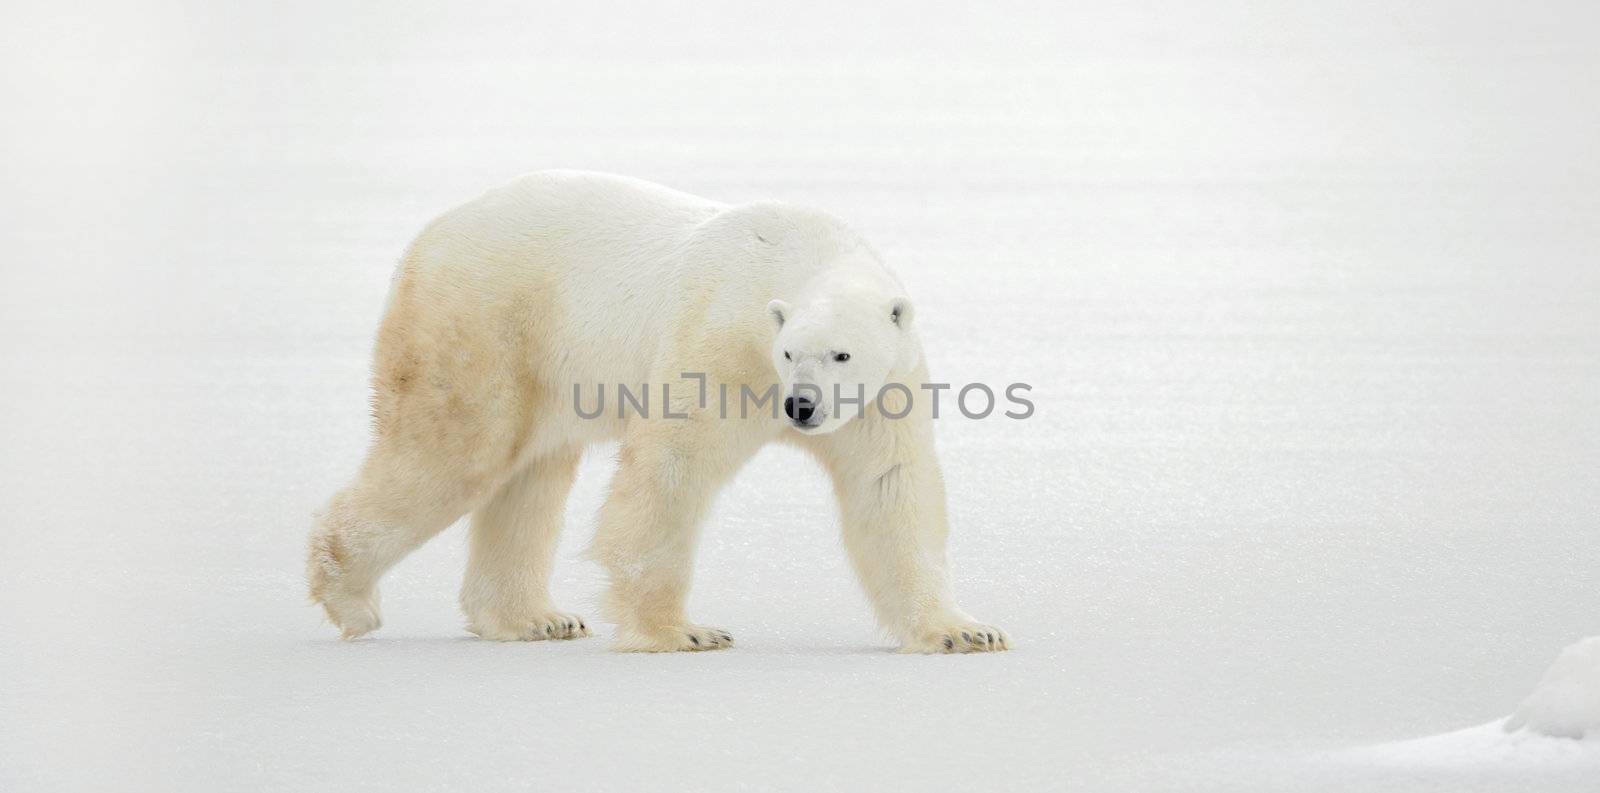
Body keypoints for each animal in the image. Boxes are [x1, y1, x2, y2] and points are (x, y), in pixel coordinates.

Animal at [308, 170, 1011, 652]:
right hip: (482, 322)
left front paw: (964, 632)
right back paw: (350, 597)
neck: (799, 253)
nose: (800, 406)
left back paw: (536, 618)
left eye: (841, 354)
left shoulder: (887, 391)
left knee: (531, 478)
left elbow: (889, 487)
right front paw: (684, 632)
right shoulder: (721, 345)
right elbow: (673, 467)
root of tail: (429, 235)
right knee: (458, 452)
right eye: (789, 352)